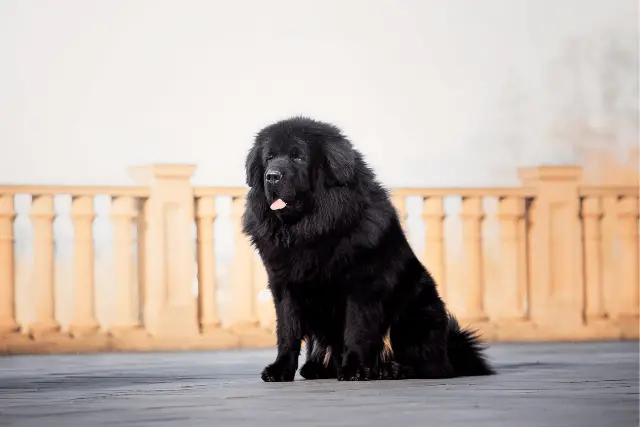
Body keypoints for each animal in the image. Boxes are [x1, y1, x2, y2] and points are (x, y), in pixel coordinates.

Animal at [241, 116, 496, 382]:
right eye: (269, 157)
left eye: (297, 157)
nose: (272, 176)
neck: (311, 227)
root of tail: (449, 351)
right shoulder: (284, 285)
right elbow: (287, 331)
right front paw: (280, 369)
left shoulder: (362, 284)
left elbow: (356, 329)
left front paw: (353, 369)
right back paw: (319, 368)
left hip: (414, 311)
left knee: (427, 364)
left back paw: (391, 369)